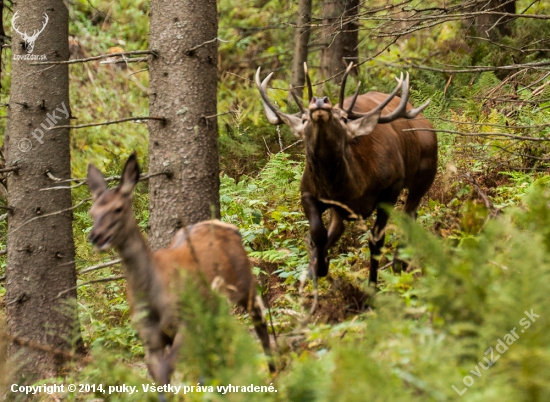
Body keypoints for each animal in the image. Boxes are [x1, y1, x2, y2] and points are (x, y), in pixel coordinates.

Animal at [88, 153, 276, 384]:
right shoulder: (149, 338)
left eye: (118, 208)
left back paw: (273, 374)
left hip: (246, 284)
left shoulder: (186, 321)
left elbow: (168, 369)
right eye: (92, 212)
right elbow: (160, 378)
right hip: (215, 305)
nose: (96, 237)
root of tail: (230, 227)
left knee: (261, 326)